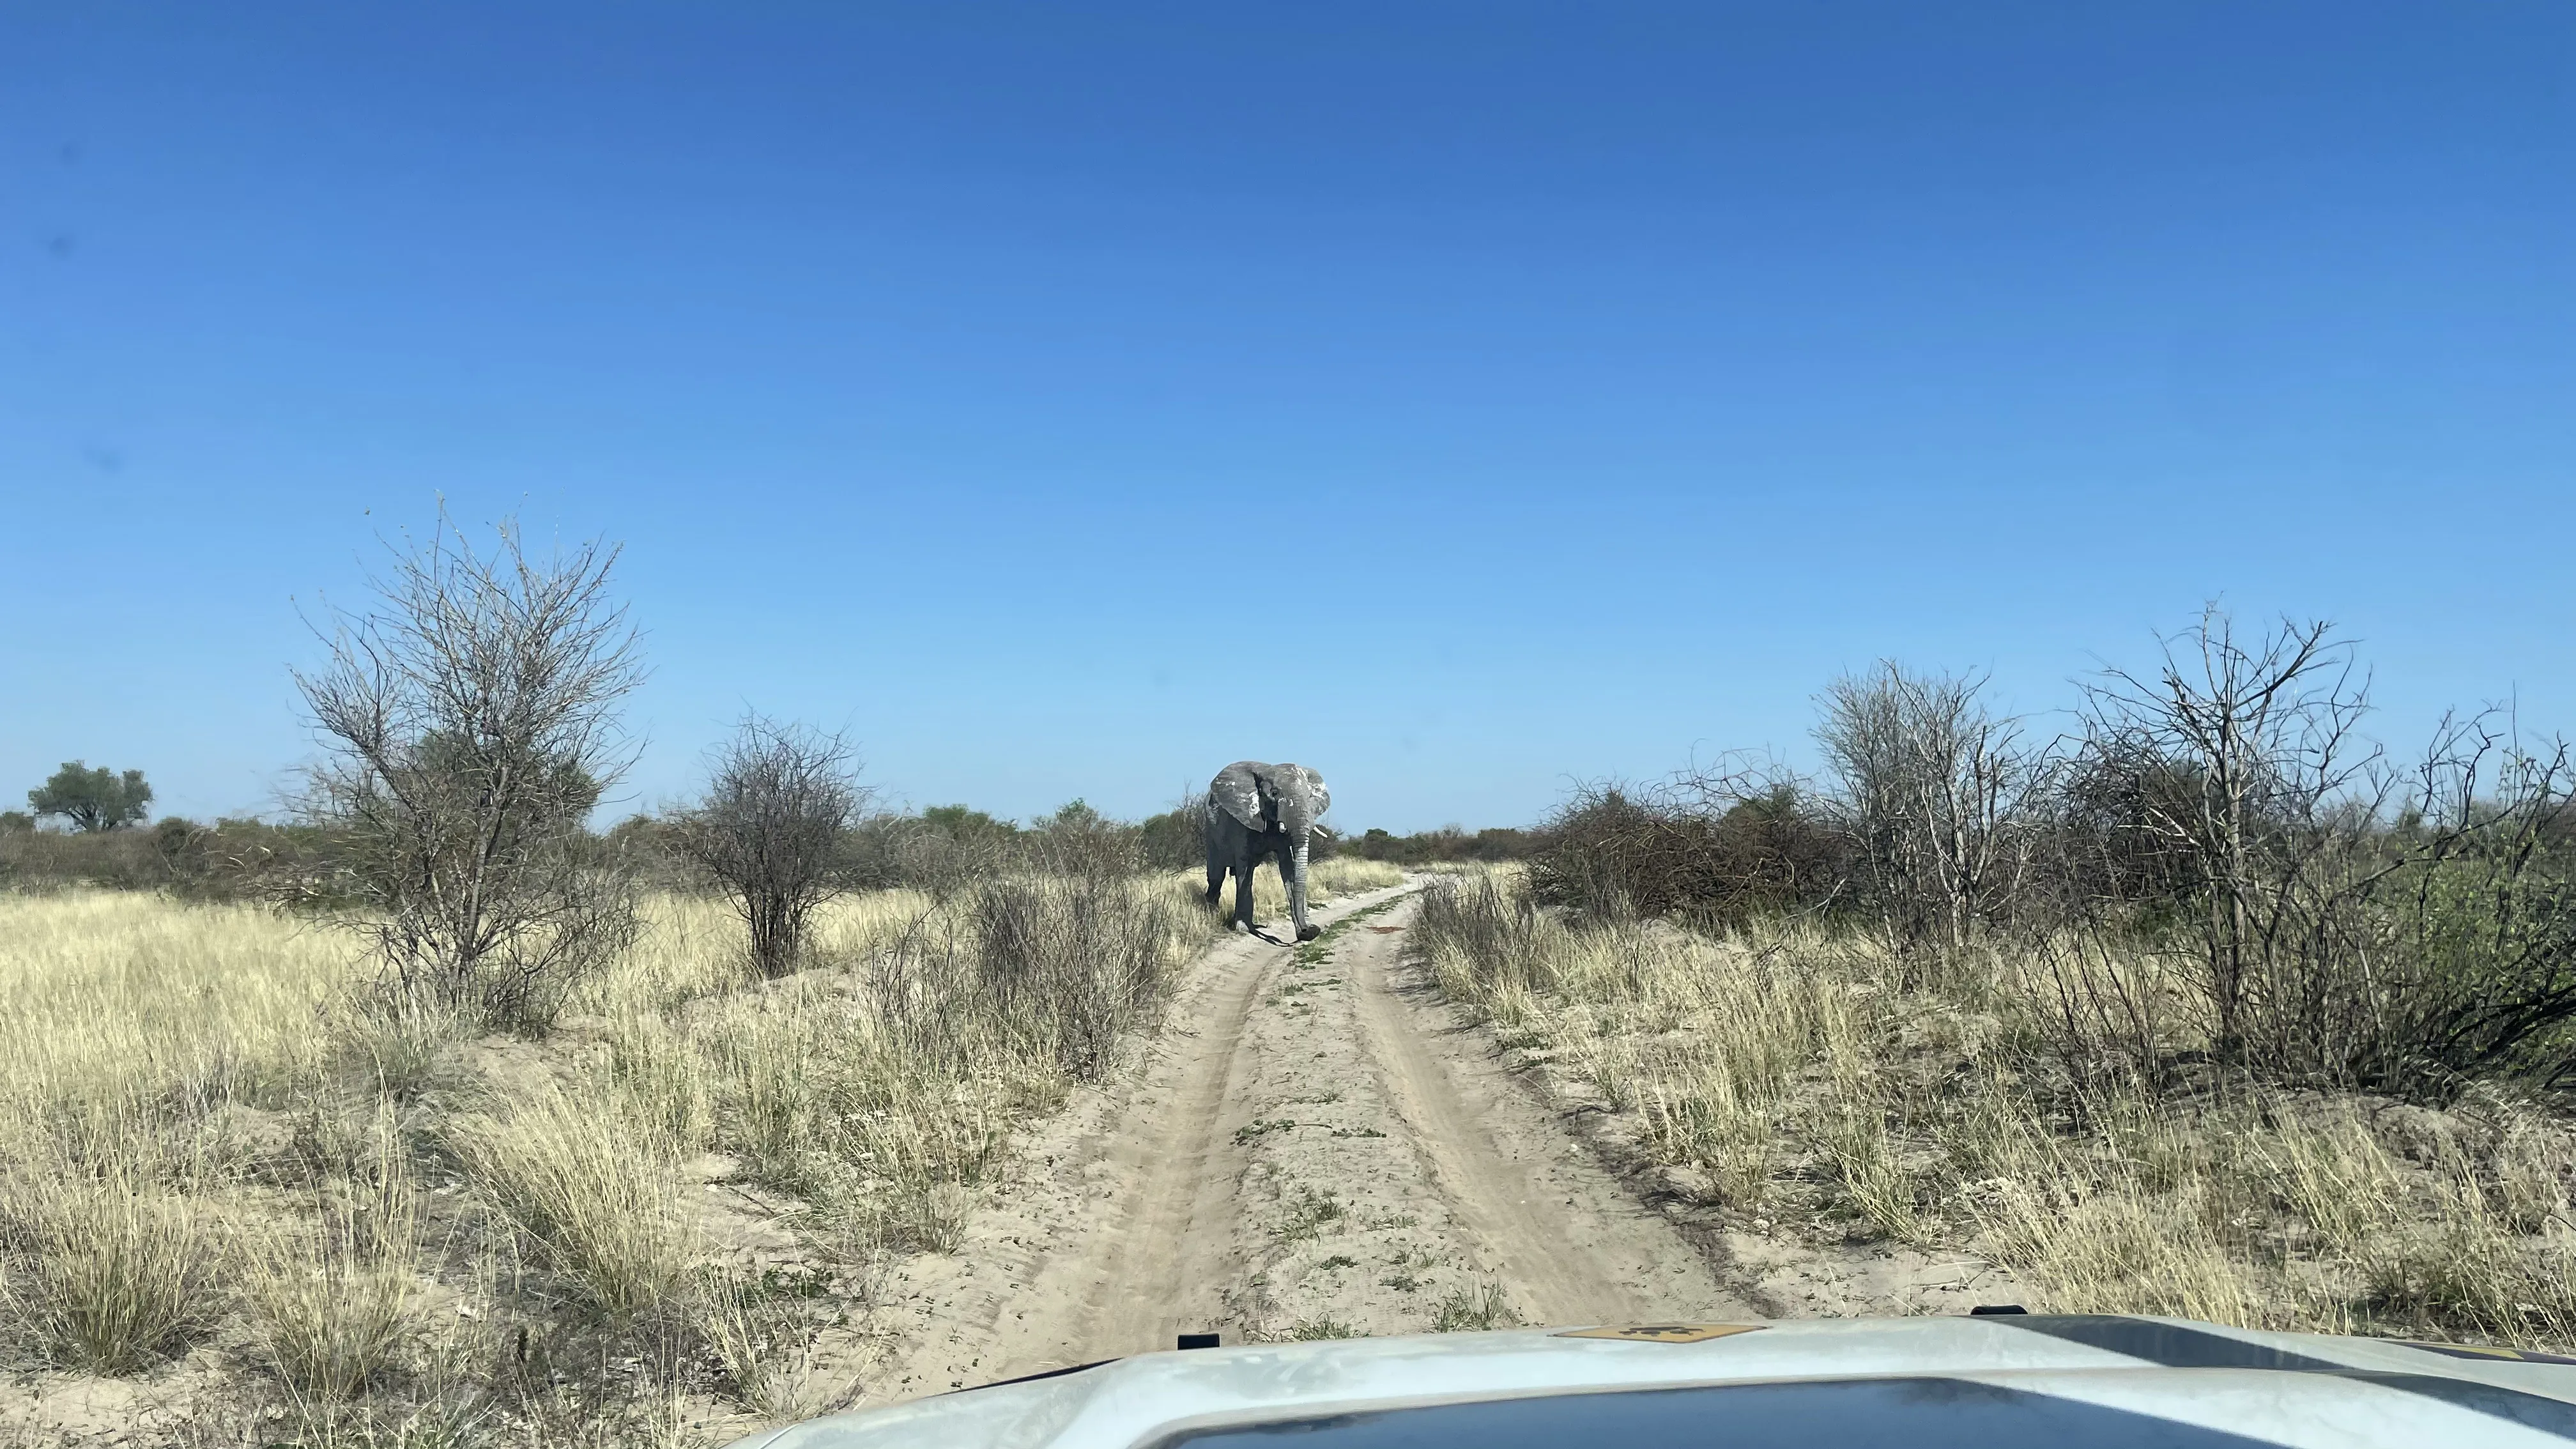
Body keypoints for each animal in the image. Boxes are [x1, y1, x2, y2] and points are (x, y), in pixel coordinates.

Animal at [1203, 761, 1331, 941]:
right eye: (1275, 793)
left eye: (1310, 796)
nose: (1311, 929)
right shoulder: (1242, 820)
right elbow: (1243, 865)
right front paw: (1243, 929)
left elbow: (1288, 867)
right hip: (1210, 832)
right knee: (1216, 876)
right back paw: (1212, 917)